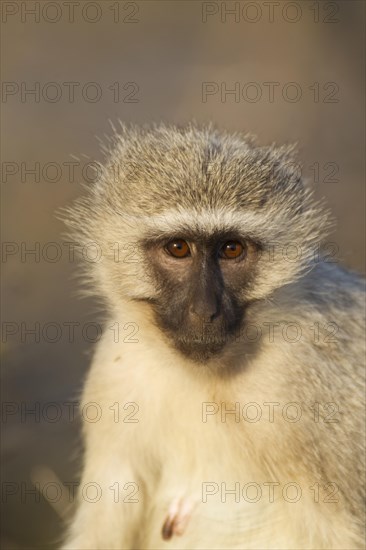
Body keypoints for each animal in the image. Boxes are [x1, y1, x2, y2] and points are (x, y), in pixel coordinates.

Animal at [61, 125, 364, 550]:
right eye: (178, 248)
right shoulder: (115, 374)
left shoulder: (310, 379)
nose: (205, 311)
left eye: (231, 249)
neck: (206, 376)